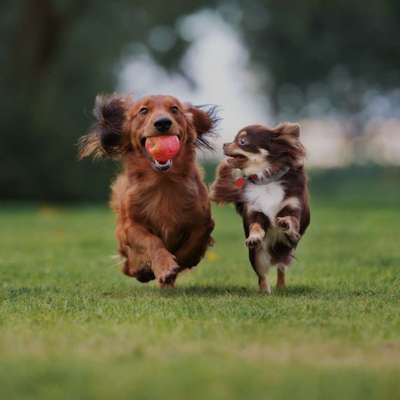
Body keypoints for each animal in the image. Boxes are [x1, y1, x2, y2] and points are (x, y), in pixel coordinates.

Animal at [79, 94, 219, 288]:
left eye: (174, 109)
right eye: (143, 110)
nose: (162, 123)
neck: (163, 182)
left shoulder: (203, 221)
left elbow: (194, 242)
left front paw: (181, 261)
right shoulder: (130, 226)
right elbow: (152, 241)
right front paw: (164, 265)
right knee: (128, 266)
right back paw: (142, 270)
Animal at [211, 122, 310, 294]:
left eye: (242, 141)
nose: (224, 144)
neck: (267, 180)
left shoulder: (293, 206)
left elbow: (292, 219)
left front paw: (286, 224)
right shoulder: (255, 211)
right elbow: (256, 226)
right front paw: (254, 237)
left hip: (286, 250)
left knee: (281, 268)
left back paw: (281, 287)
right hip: (257, 255)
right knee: (262, 274)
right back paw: (265, 291)